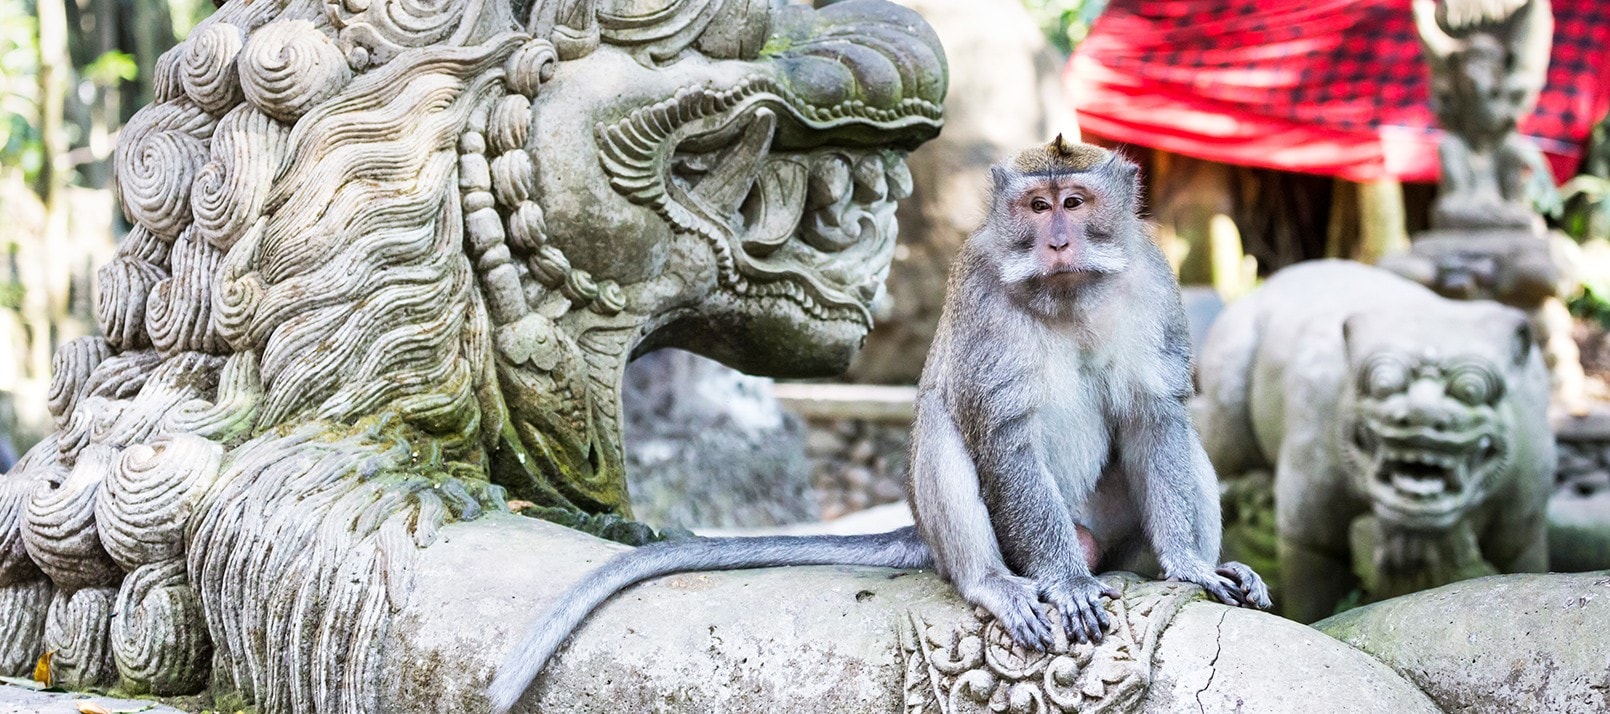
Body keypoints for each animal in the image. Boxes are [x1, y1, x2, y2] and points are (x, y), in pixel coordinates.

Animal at [483, 135, 1262, 714]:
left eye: (1075, 202)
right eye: (1036, 206)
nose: (1058, 241)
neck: (1068, 294)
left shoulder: (1153, 285)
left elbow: (1155, 419)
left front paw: (1190, 566)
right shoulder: (982, 294)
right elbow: (1001, 433)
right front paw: (1066, 584)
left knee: (1182, 441)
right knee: (945, 428)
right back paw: (995, 581)